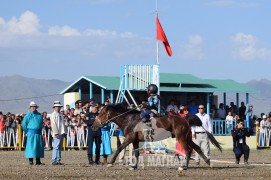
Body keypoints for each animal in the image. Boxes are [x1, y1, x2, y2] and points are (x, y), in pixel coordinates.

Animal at [92, 104, 222, 170]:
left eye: (101, 113)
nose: (93, 126)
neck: (129, 119)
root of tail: (185, 119)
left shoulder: (129, 138)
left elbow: (119, 148)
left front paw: (110, 162)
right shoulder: (135, 140)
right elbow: (136, 153)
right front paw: (133, 166)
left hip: (181, 138)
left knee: (188, 151)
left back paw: (184, 167)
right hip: (187, 138)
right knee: (197, 148)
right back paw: (209, 163)